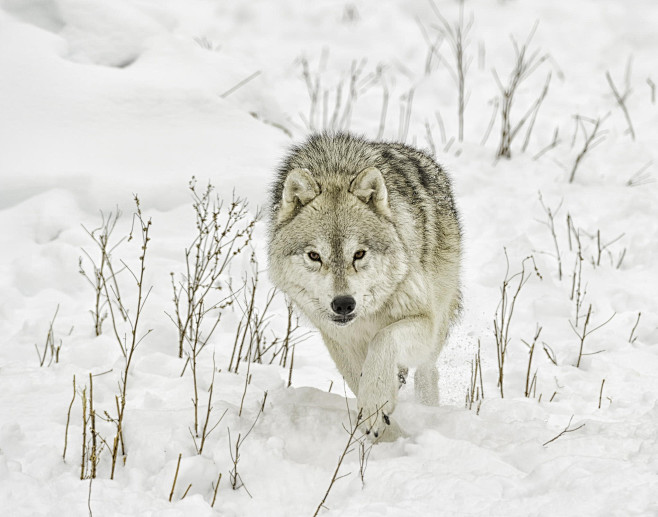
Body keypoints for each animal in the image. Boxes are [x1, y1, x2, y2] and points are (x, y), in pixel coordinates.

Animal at [266, 133, 462, 440]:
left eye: (358, 254)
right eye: (314, 256)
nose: (344, 304)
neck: (334, 169)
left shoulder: (422, 320)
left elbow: (383, 341)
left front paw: (376, 404)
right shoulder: (338, 338)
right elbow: (357, 380)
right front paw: (386, 433)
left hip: (437, 324)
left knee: (427, 371)